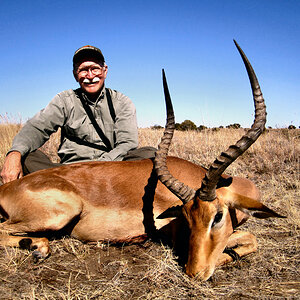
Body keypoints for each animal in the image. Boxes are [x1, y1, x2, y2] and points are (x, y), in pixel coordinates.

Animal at [0, 40, 284, 282]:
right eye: (188, 219)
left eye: (218, 217)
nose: (194, 273)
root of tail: (7, 187)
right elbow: (250, 238)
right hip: (59, 214)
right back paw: (38, 248)